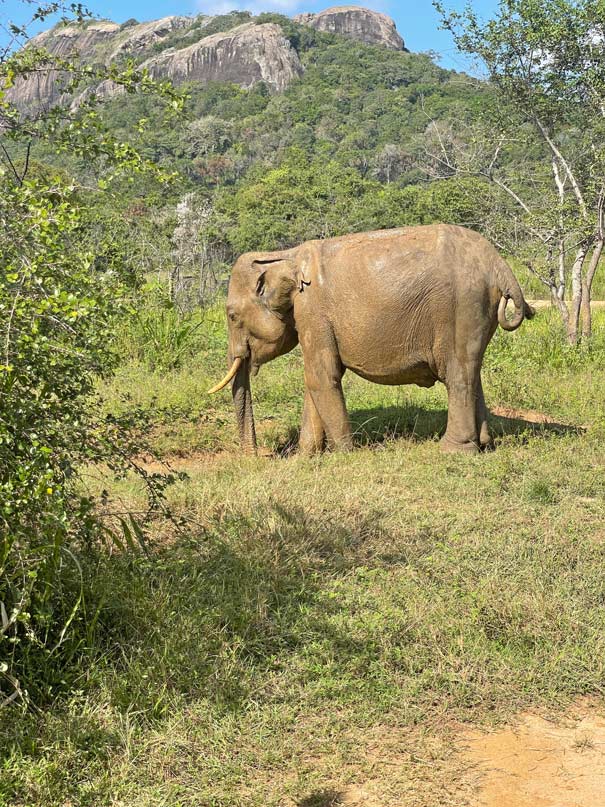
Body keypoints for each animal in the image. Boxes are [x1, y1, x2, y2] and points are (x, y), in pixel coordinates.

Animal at [208, 223, 532, 454]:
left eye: (232, 316)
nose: (257, 456)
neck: (285, 255)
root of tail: (500, 267)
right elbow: (315, 380)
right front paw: (306, 457)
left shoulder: (313, 311)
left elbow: (320, 376)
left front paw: (343, 454)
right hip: (478, 313)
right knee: (472, 370)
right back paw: (486, 444)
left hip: (462, 308)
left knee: (458, 375)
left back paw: (454, 451)